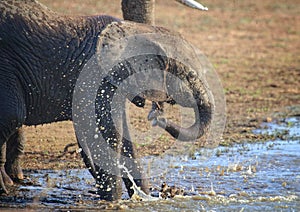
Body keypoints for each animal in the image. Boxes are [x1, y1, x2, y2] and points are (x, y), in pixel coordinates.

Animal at [0, 0, 213, 200]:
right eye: (189, 76)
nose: (156, 117)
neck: (134, 31)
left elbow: (122, 135)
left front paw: (142, 198)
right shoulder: (98, 79)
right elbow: (109, 133)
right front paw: (114, 201)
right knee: (13, 116)